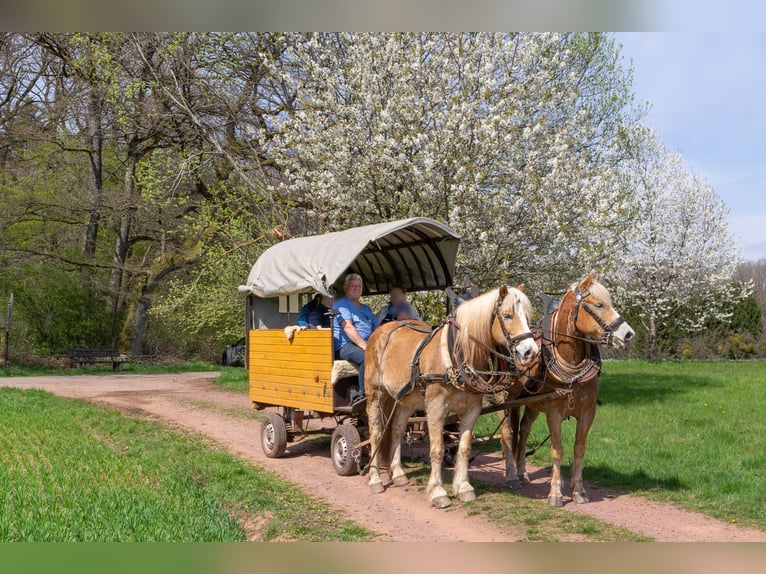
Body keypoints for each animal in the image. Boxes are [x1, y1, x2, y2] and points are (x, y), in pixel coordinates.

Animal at [366, 284, 540, 508]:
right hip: (374, 394)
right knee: (376, 433)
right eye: (507, 315)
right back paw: (374, 480)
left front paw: (463, 488)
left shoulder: (472, 410)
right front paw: (438, 492)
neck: (456, 359)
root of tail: (381, 331)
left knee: (396, 430)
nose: (531, 352)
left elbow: (464, 448)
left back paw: (397, 474)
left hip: (405, 400)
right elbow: (437, 449)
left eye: (527, 316)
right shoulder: (436, 408)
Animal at [500, 276, 632, 506]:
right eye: (599, 305)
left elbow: (579, 449)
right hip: (503, 397)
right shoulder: (554, 412)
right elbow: (557, 450)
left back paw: (522, 472)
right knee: (507, 433)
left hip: (531, 404)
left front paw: (578, 490)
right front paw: (555, 493)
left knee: (524, 430)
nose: (628, 334)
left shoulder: (588, 412)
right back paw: (512, 476)